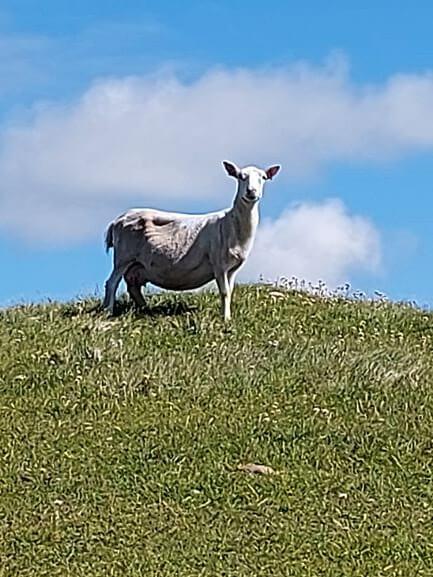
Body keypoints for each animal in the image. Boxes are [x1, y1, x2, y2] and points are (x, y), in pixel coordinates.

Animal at [104, 160, 280, 320]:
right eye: (240, 176)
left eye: (263, 177)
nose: (251, 192)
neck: (230, 223)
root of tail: (117, 220)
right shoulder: (219, 264)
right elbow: (224, 292)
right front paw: (225, 319)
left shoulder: (232, 268)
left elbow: (229, 292)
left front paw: (228, 317)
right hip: (123, 257)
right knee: (111, 283)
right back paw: (108, 311)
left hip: (136, 264)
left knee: (132, 287)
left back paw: (145, 309)